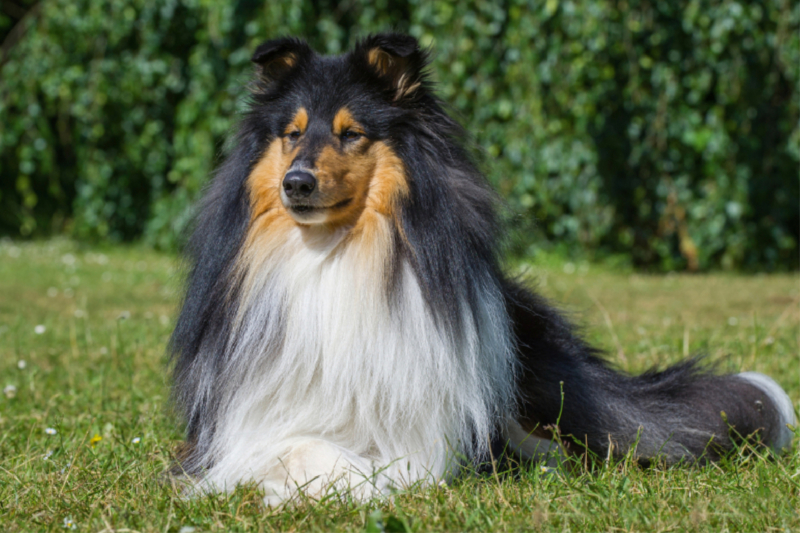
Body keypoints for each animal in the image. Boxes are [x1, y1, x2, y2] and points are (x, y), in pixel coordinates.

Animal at [169, 32, 792, 502]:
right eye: (292, 133)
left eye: (351, 134)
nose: (295, 183)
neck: (332, 255)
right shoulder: (235, 430)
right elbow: (298, 445)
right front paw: (333, 482)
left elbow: (407, 460)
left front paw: (371, 483)